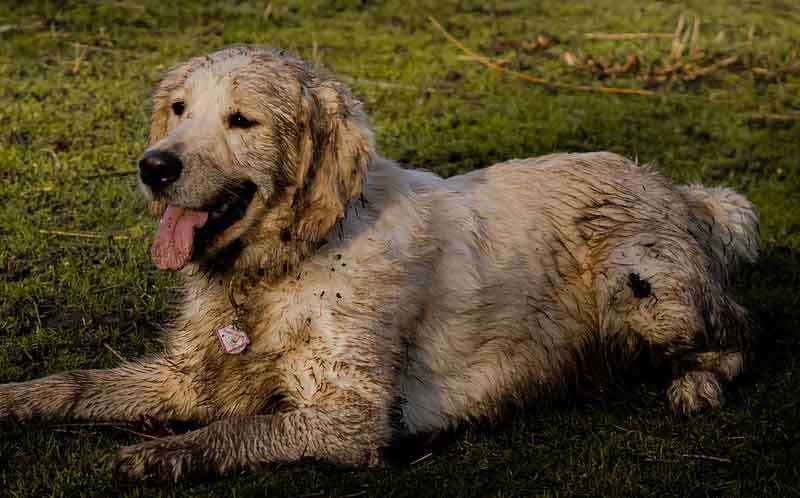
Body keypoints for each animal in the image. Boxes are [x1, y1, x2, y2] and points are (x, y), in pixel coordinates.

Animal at [0, 45, 760, 482]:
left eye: (242, 120)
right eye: (180, 109)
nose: (153, 167)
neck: (280, 267)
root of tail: (679, 189)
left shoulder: (352, 417)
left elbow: (243, 427)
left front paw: (164, 453)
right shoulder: (187, 377)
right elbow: (73, 383)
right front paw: (15, 398)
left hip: (644, 283)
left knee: (738, 331)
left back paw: (696, 385)